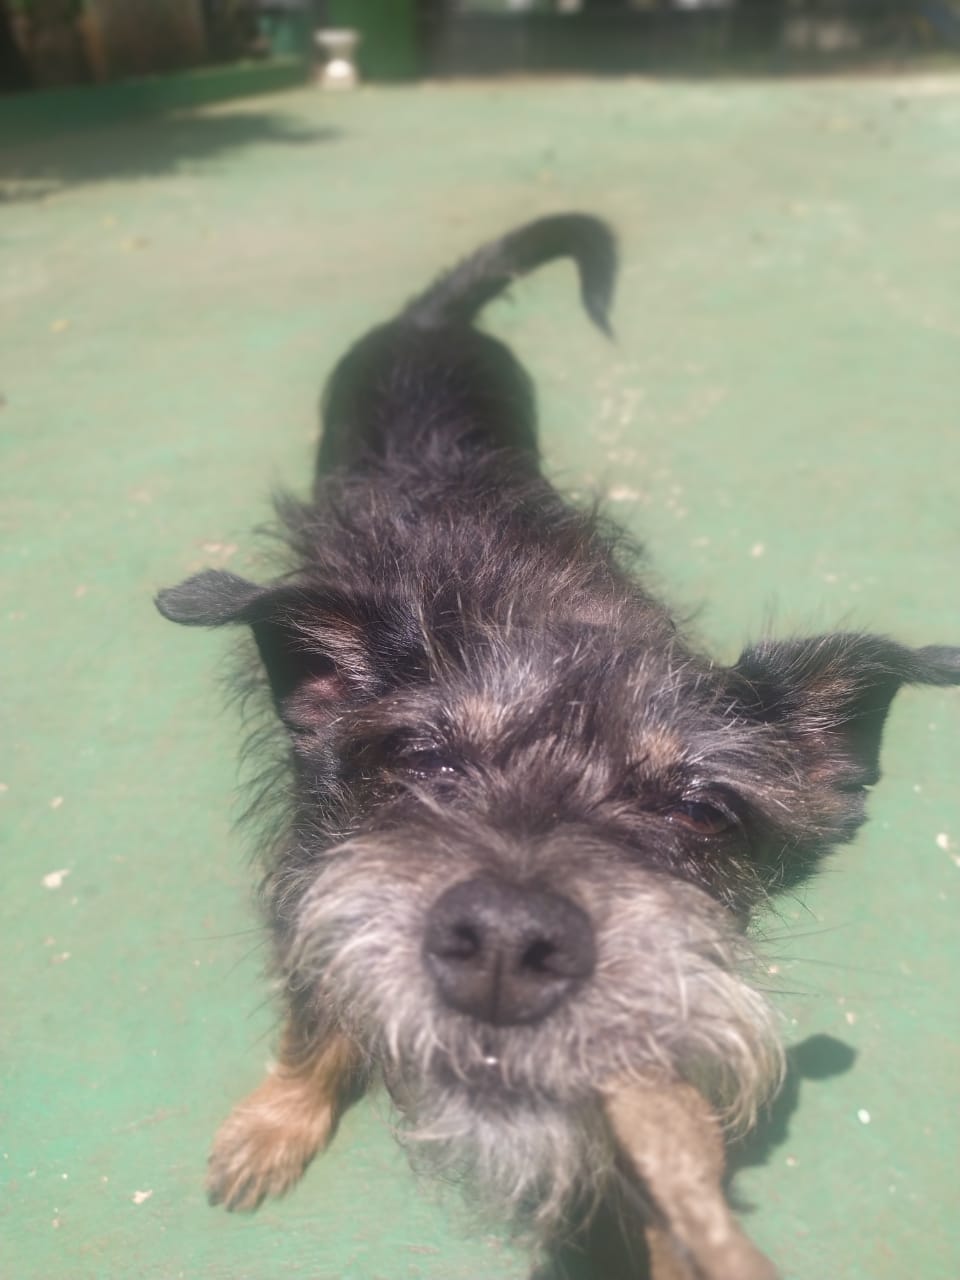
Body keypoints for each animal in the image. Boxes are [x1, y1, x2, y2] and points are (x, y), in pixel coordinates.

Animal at [157, 214, 960, 1275]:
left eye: (704, 811)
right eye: (420, 760)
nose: (507, 940)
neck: (541, 606)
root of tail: (429, 318)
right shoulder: (307, 871)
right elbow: (309, 1011)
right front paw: (277, 1121)